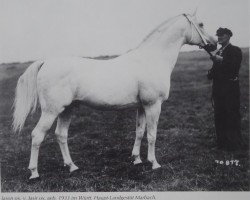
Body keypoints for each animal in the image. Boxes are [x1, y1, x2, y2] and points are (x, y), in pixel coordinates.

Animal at [13, 12, 217, 180]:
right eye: (201, 23)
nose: (214, 44)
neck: (151, 59)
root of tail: (45, 62)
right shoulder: (153, 105)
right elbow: (152, 134)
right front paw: (154, 163)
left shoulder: (141, 106)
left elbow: (139, 132)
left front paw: (137, 159)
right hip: (51, 111)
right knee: (37, 135)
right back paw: (34, 172)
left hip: (67, 109)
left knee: (61, 135)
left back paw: (72, 166)